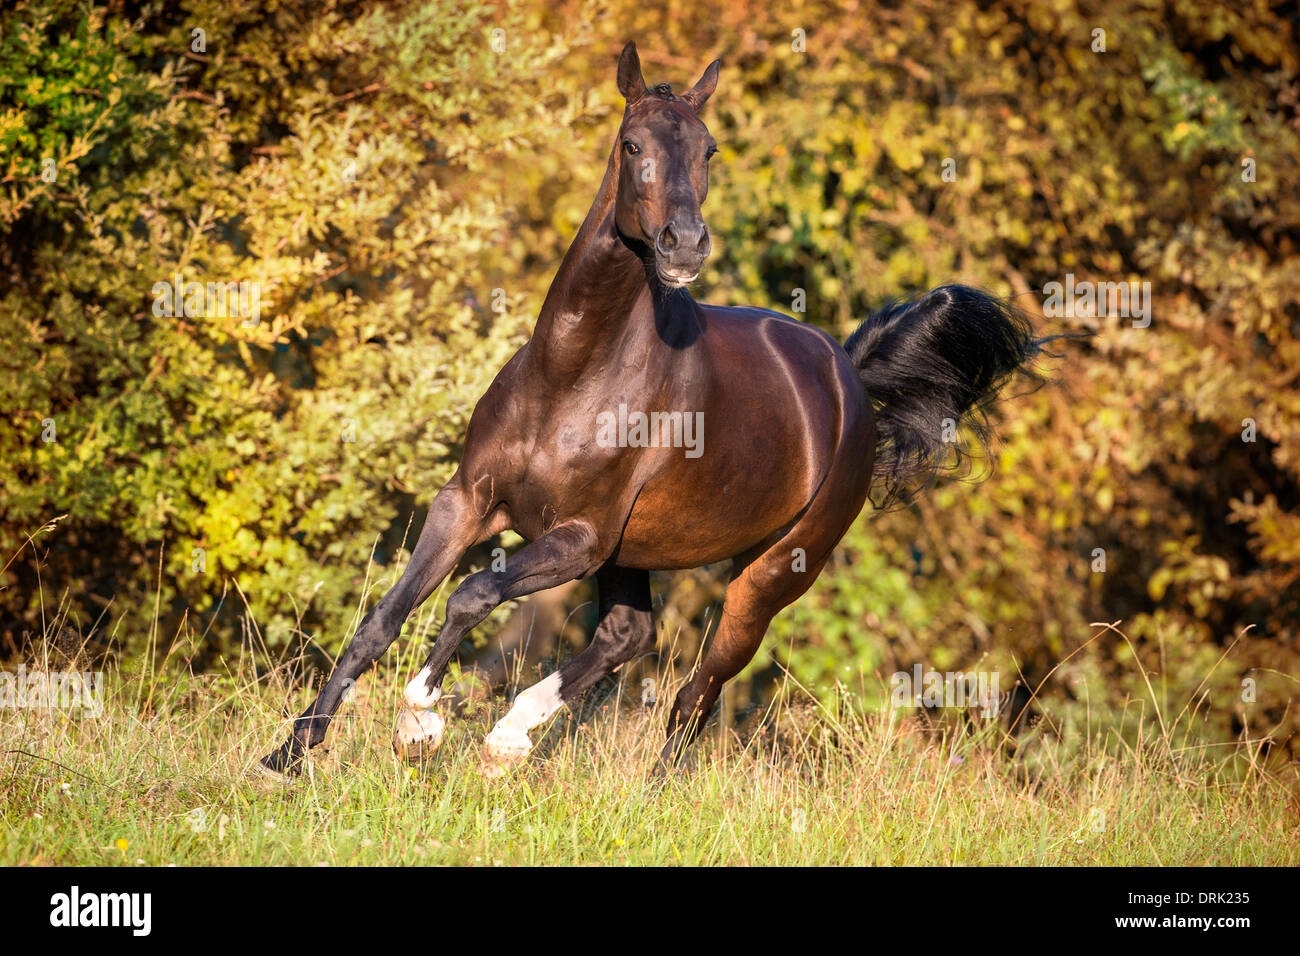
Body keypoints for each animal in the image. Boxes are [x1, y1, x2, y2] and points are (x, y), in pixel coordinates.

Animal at [260, 42, 1043, 777]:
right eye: (632, 144)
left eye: (708, 149)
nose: (685, 245)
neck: (570, 377)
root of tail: (848, 374)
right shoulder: (469, 502)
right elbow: (383, 620)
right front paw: (289, 756)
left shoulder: (580, 537)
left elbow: (474, 593)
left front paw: (419, 723)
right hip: (634, 552)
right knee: (627, 636)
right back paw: (509, 742)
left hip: (768, 576)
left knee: (695, 693)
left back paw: (629, 782)